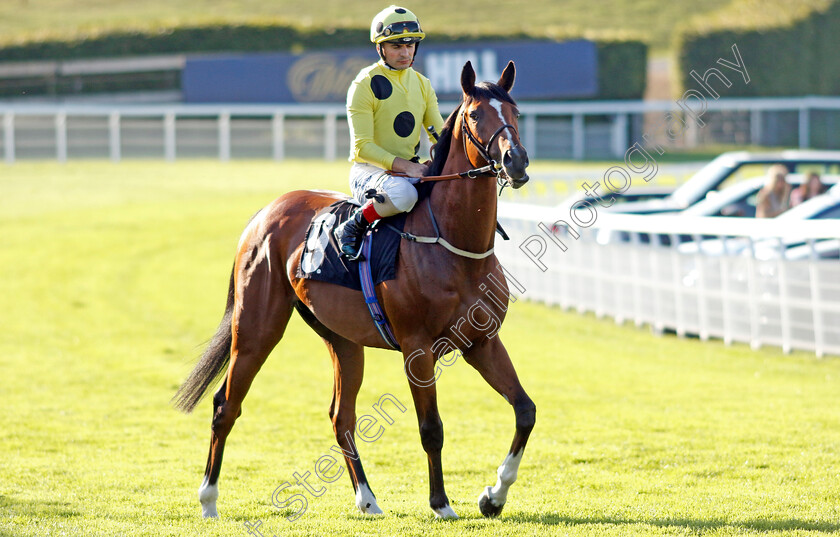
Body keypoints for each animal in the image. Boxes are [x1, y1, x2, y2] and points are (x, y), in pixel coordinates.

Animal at [173, 58, 536, 520]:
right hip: (256, 329)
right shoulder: (418, 349)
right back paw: (208, 500)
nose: (516, 161)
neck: (454, 247)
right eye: (475, 115)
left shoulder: (482, 342)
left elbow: (525, 410)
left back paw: (367, 498)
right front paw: (441, 503)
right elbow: (431, 428)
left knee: (340, 416)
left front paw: (494, 495)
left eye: (516, 112)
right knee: (226, 405)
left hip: (343, 340)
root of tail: (265, 212)